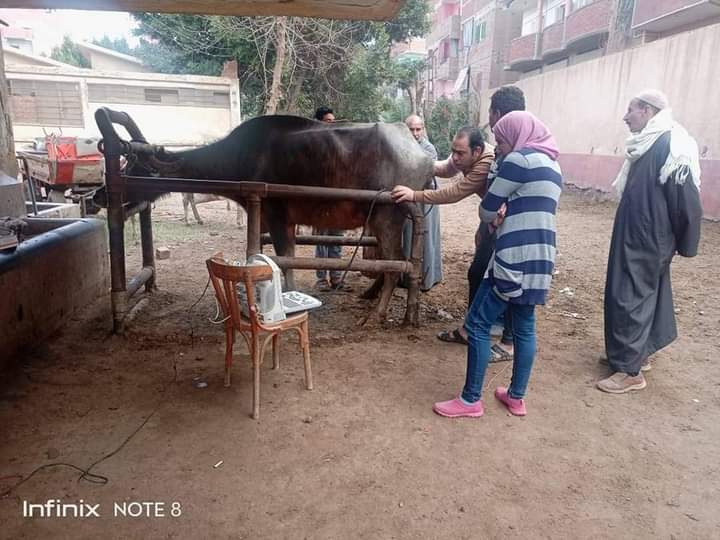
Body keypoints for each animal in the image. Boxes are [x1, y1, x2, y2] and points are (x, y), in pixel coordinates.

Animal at [95, 113, 434, 320]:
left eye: (133, 166)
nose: (99, 195)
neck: (238, 158)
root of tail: (422, 156)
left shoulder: (277, 217)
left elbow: (286, 263)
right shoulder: (283, 221)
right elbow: (280, 259)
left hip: (388, 218)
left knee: (396, 264)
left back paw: (378, 312)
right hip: (381, 221)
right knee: (390, 263)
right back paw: (369, 295)